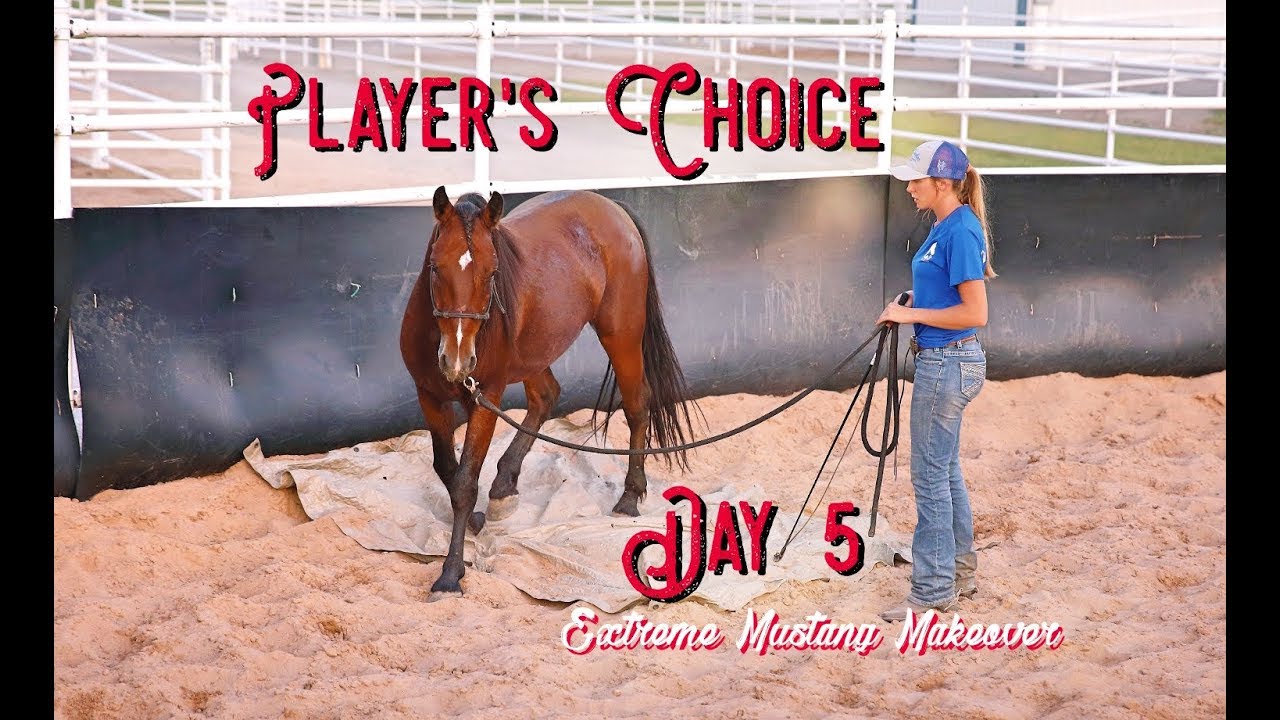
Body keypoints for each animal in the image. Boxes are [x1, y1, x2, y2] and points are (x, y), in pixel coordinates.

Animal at [400, 186, 701, 599]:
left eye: (491, 273)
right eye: (434, 267)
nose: (458, 361)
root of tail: (612, 206)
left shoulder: (486, 400)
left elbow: (463, 482)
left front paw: (450, 574)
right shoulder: (428, 398)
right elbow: (447, 470)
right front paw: (476, 520)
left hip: (621, 333)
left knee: (637, 403)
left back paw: (628, 498)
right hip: (536, 349)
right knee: (546, 396)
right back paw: (504, 486)